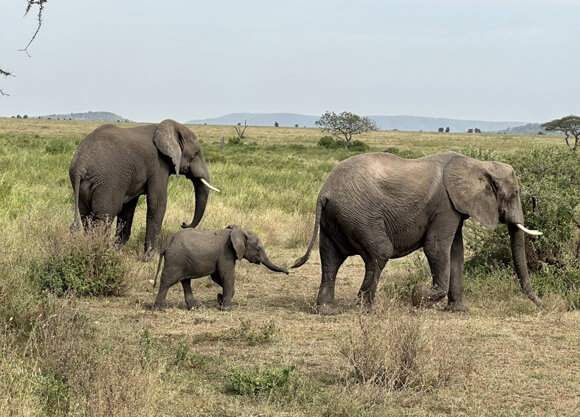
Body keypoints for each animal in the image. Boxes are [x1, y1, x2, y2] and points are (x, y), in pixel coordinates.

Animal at [69, 118, 220, 254]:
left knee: (86, 216)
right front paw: (151, 257)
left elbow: (128, 208)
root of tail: (80, 166)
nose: (183, 223)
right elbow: (157, 203)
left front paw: (118, 250)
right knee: (104, 216)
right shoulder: (158, 165)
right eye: (196, 153)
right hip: (106, 182)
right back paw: (102, 251)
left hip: (86, 187)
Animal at [152, 224, 288, 308]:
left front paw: (220, 300)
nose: (288, 272)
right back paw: (159, 309)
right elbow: (227, 275)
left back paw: (195, 307)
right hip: (176, 260)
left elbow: (217, 277)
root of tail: (165, 245)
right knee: (167, 280)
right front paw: (226, 308)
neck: (239, 231)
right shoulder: (226, 253)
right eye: (258, 249)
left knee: (186, 281)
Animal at [294, 151, 544, 314]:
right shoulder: (445, 206)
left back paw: (329, 311)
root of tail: (324, 193)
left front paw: (459, 310)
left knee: (330, 259)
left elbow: (456, 252)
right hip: (358, 215)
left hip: (334, 218)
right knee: (379, 252)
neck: (478, 164)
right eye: (514, 194)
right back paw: (368, 310)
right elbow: (436, 248)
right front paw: (417, 296)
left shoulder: (454, 208)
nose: (543, 305)